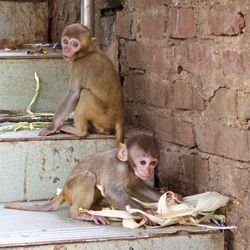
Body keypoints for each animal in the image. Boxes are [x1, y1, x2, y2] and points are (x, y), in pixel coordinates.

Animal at [4, 135, 161, 225]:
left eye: (153, 163)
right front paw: (145, 212)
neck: (128, 164)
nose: (148, 171)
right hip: (71, 189)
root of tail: (63, 190)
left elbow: (137, 187)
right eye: (143, 162)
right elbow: (112, 192)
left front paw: (167, 197)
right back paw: (78, 213)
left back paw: (94, 207)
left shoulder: (134, 174)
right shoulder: (119, 169)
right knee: (89, 177)